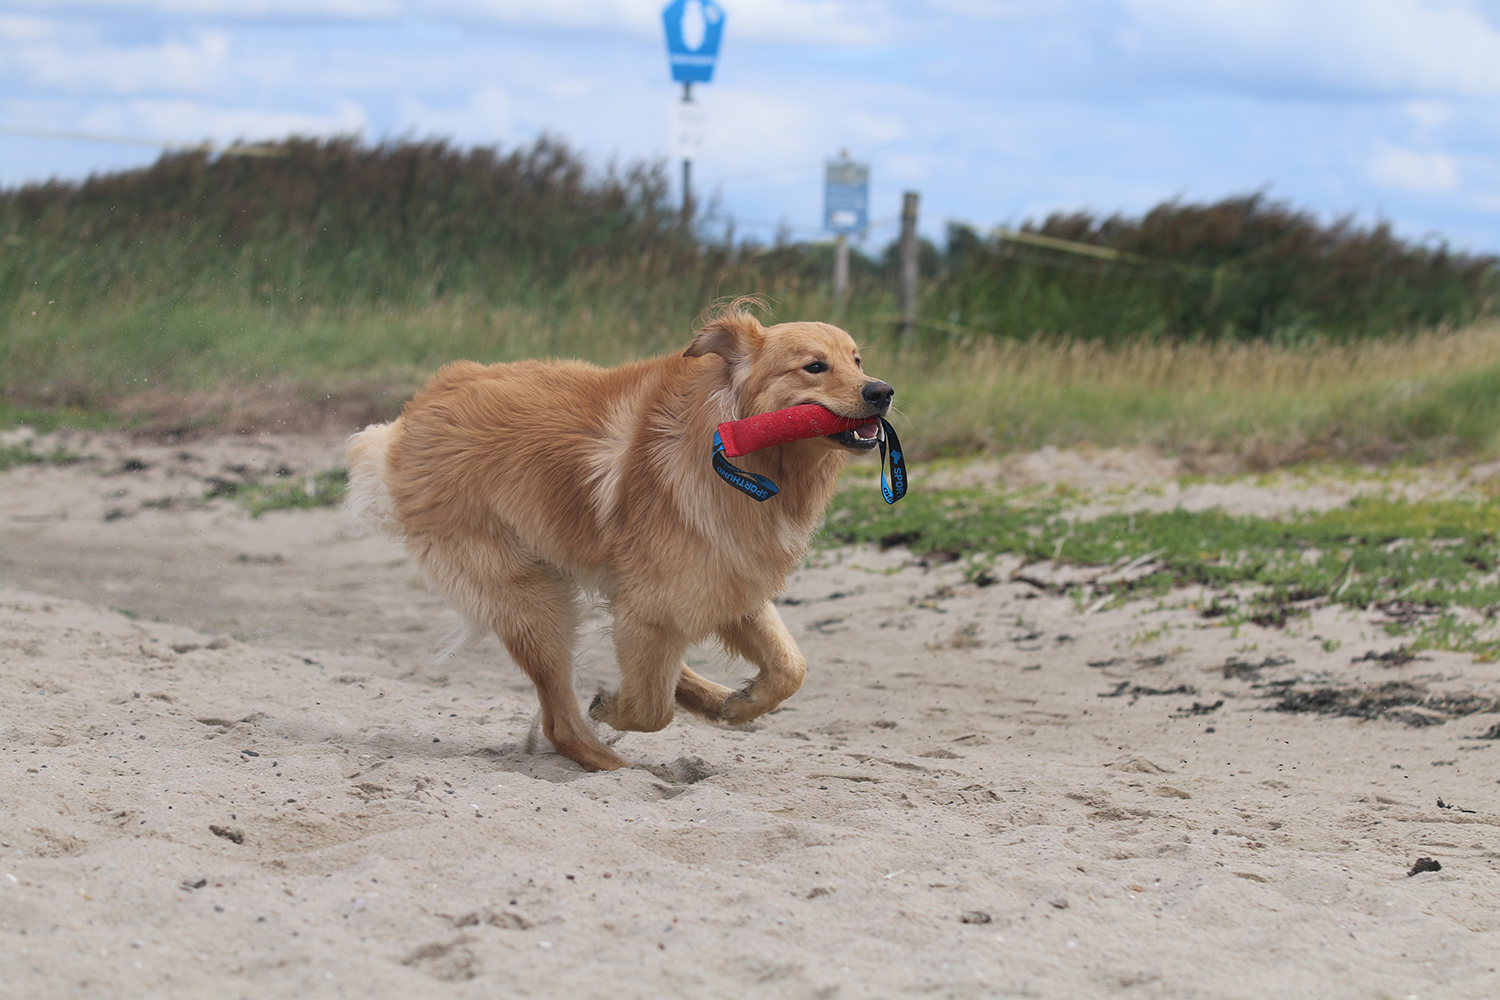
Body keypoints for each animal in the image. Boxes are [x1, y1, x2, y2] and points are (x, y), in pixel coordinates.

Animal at [345, 302, 894, 770]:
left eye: (857, 360)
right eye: (814, 367)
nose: (882, 391)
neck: (741, 452)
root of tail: (408, 420)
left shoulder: (728, 581)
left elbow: (789, 668)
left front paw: (740, 705)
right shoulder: (659, 602)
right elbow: (651, 710)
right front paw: (615, 710)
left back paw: (709, 699)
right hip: (531, 598)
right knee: (562, 722)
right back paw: (616, 764)